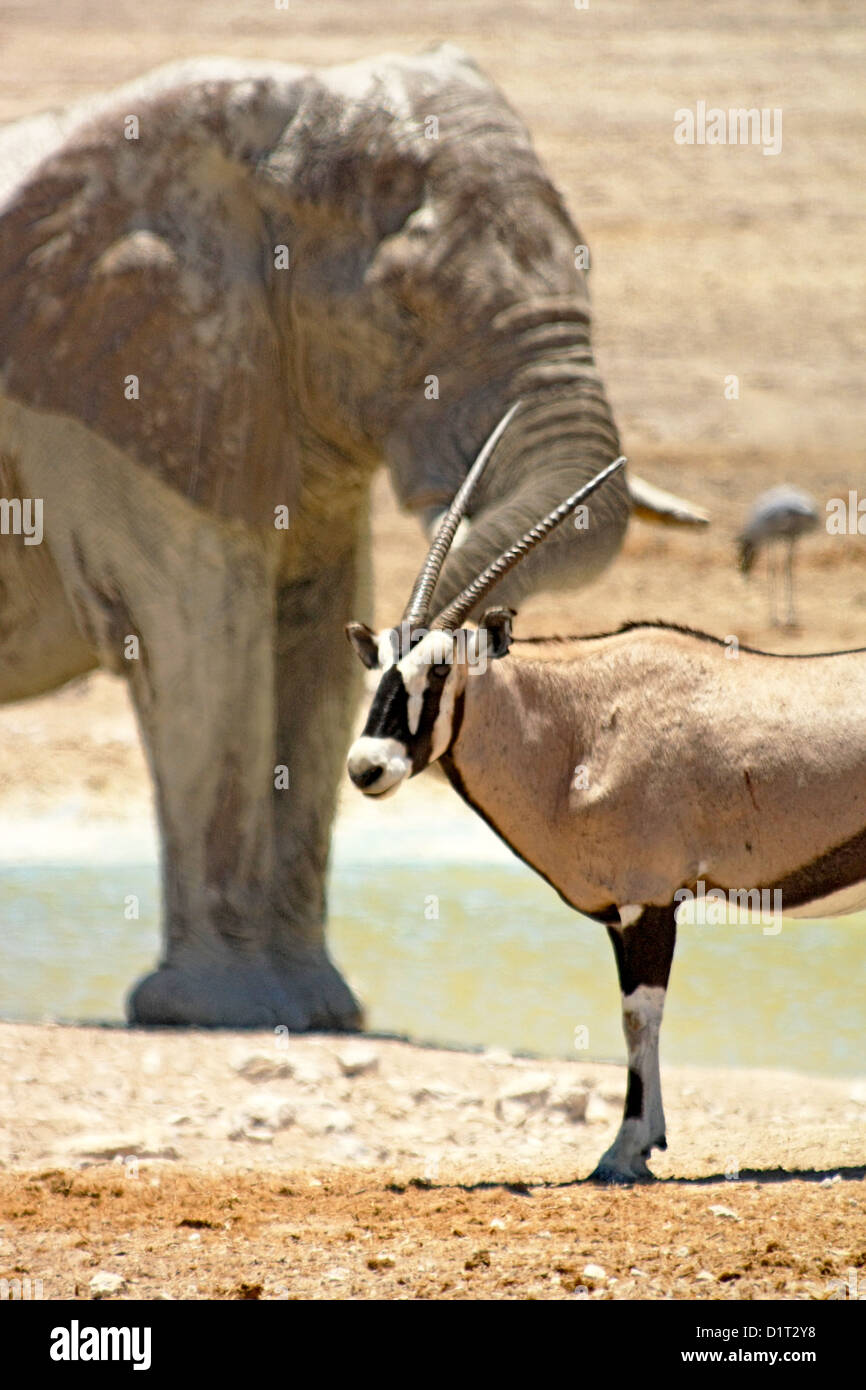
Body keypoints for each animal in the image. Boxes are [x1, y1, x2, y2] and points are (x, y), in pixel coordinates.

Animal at [0, 46, 706, 1023]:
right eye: (405, 310)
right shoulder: (153, 383)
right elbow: (207, 651)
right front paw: (220, 1012)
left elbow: (315, 652)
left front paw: (319, 1012)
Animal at [346, 405, 866, 1178]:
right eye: (378, 663)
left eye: (439, 671)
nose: (366, 767)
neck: (579, 721)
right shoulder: (628, 911)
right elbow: (633, 1017)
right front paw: (641, 1141)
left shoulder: (646, 903)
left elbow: (638, 1015)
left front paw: (626, 1149)